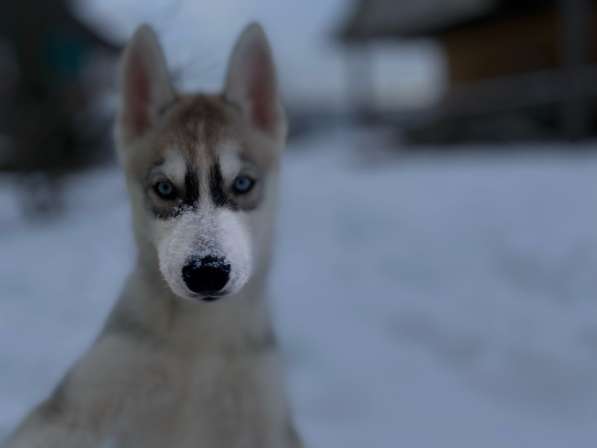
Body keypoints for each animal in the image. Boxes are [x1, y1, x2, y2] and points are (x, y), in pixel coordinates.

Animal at [2, 23, 302, 448]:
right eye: (163, 188)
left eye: (243, 183)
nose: (207, 272)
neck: (198, 347)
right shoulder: (72, 407)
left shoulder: (269, 420)